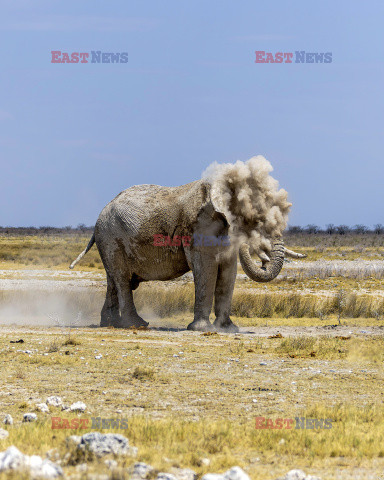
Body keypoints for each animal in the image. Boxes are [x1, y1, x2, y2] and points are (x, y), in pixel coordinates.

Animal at [69, 156, 306, 332]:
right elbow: (206, 269)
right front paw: (201, 329)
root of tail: (101, 214)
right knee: (122, 279)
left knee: (113, 280)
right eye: (254, 215)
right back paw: (136, 325)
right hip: (111, 236)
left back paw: (109, 324)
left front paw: (228, 329)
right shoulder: (198, 227)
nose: (263, 260)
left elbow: (228, 272)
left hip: (108, 239)